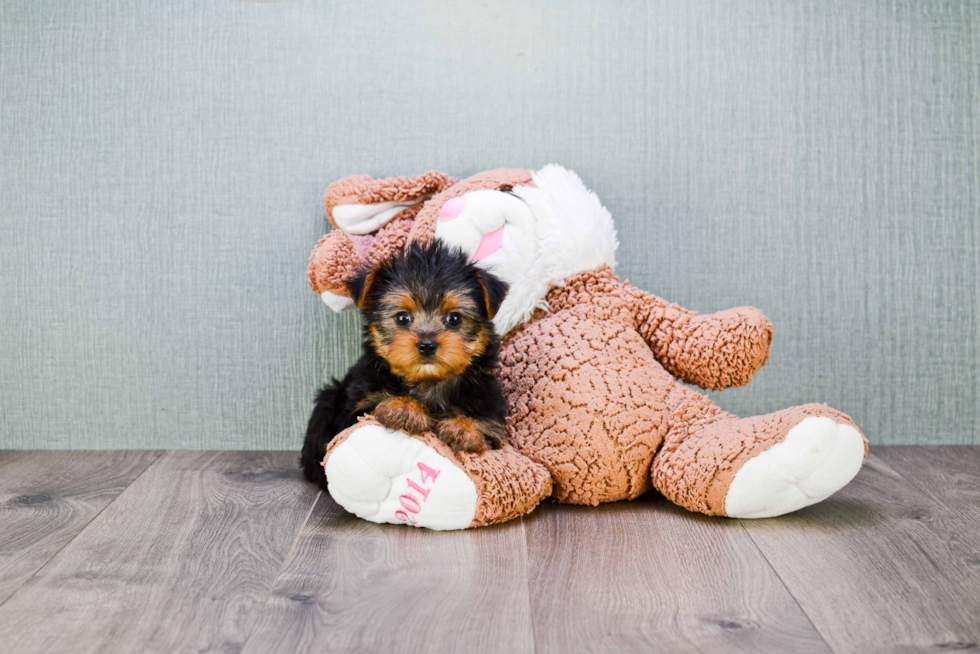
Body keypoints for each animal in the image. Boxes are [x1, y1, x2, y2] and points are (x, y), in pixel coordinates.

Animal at [302, 238, 510, 490]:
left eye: (454, 318)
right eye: (402, 318)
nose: (427, 344)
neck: (428, 382)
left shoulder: (493, 421)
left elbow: (487, 433)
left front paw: (464, 428)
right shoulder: (355, 409)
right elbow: (368, 411)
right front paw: (404, 407)